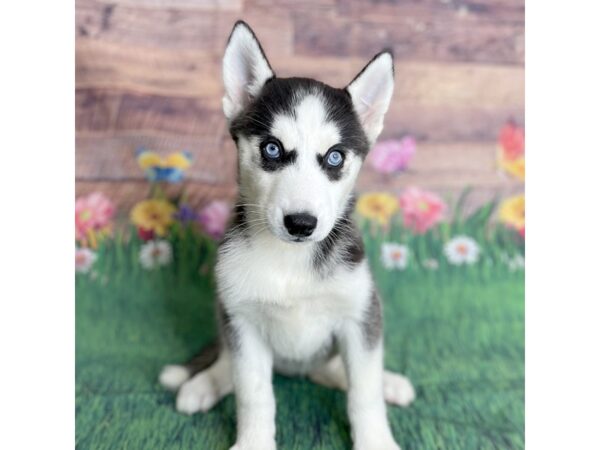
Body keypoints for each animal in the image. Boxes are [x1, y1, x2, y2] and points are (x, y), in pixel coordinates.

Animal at [159, 21, 418, 450]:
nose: (301, 223)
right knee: (229, 362)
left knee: (341, 372)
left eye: (335, 157)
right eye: (272, 149)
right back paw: (203, 384)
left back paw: (389, 383)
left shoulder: (360, 315)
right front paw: (252, 442)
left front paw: (376, 438)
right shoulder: (243, 321)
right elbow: (253, 394)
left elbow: (363, 392)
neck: (289, 262)